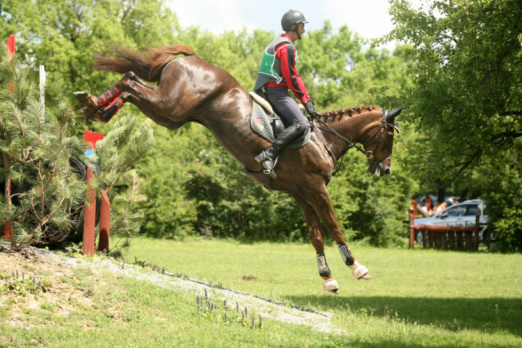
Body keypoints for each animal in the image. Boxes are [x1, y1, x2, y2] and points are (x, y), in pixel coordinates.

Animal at [73, 44, 400, 294]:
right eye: (391, 136)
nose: (385, 170)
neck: (324, 138)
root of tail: (191, 58)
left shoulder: (302, 193)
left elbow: (316, 235)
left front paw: (328, 279)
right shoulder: (316, 188)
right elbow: (333, 225)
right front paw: (357, 267)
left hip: (170, 116)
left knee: (130, 85)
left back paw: (96, 107)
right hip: (171, 105)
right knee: (130, 82)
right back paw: (94, 104)